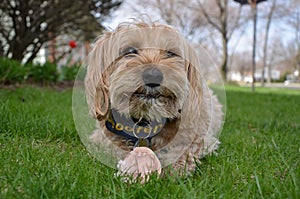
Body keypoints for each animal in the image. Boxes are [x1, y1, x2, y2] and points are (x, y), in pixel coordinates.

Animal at [84, 20, 223, 182]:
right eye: (130, 51)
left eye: (170, 53)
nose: (153, 75)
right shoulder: (102, 137)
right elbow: (113, 147)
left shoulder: (199, 135)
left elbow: (186, 148)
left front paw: (173, 167)